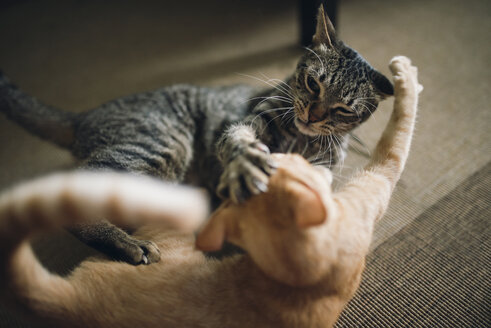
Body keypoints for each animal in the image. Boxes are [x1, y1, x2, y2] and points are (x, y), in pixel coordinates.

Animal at [0, 5, 394, 266]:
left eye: (343, 109)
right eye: (313, 83)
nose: (313, 116)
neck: (302, 137)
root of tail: (84, 116)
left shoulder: (326, 164)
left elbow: (317, 179)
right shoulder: (248, 122)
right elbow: (238, 142)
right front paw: (247, 164)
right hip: (160, 145)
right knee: (75, 191)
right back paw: (129, 245)